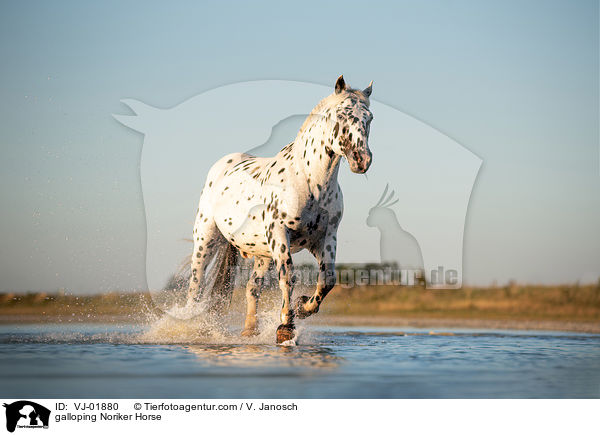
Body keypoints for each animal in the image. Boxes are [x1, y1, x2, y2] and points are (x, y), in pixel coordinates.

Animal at [188, 77, 376, 344]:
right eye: (340, 115)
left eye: (369, 118)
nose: (362, 159)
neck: (309, 182)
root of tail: (222, 165)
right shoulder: (280, 234)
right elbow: (288, 277)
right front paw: (286, 326)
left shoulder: (325, 239)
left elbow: (327, 280)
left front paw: (302, 307)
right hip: (206, 238)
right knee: (195, 287)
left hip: (261, 252)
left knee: (252, 287)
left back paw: (250, 331)